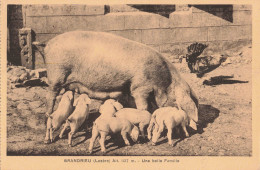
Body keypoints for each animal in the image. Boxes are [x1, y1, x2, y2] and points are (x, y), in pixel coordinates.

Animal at [40, 30, 198, 129]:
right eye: (178, 103)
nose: (197, 123)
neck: (162, 82)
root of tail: (48, 44)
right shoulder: (140, 87)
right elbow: (143, 105)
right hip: (56, 74)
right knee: (50, 96)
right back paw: (47, 116)